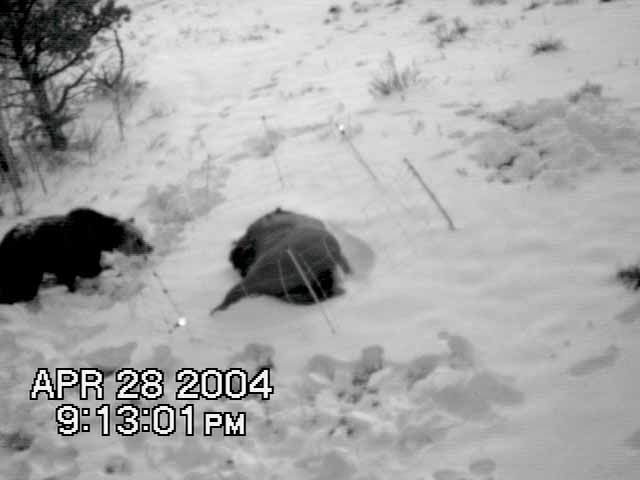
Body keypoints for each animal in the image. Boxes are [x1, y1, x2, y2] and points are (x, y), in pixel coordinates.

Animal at [0, 206, 154, 304]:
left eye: (141, 236)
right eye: (138, 240)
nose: (150, 247)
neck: (99, 236)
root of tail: (4, 242)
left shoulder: (67, 262)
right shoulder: (79, 254)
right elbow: (89, 271)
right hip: (25, 266)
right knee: (23, 288)